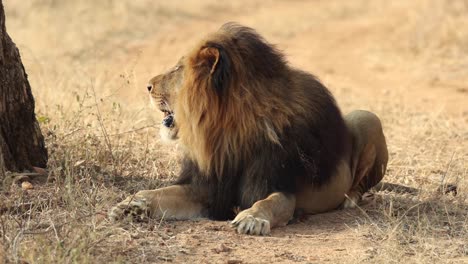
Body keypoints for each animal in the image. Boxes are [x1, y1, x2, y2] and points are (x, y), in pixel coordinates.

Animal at [109, 22, 388, 235]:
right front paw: (130, 204)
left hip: (367, 117)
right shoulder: (207, 189)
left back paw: (350, 200)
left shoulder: (281, 187)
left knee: (360, 184)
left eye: (178, 69)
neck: (228, 133)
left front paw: (252, 219)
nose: (147, 86)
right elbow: (159, 191)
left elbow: (269, 202)